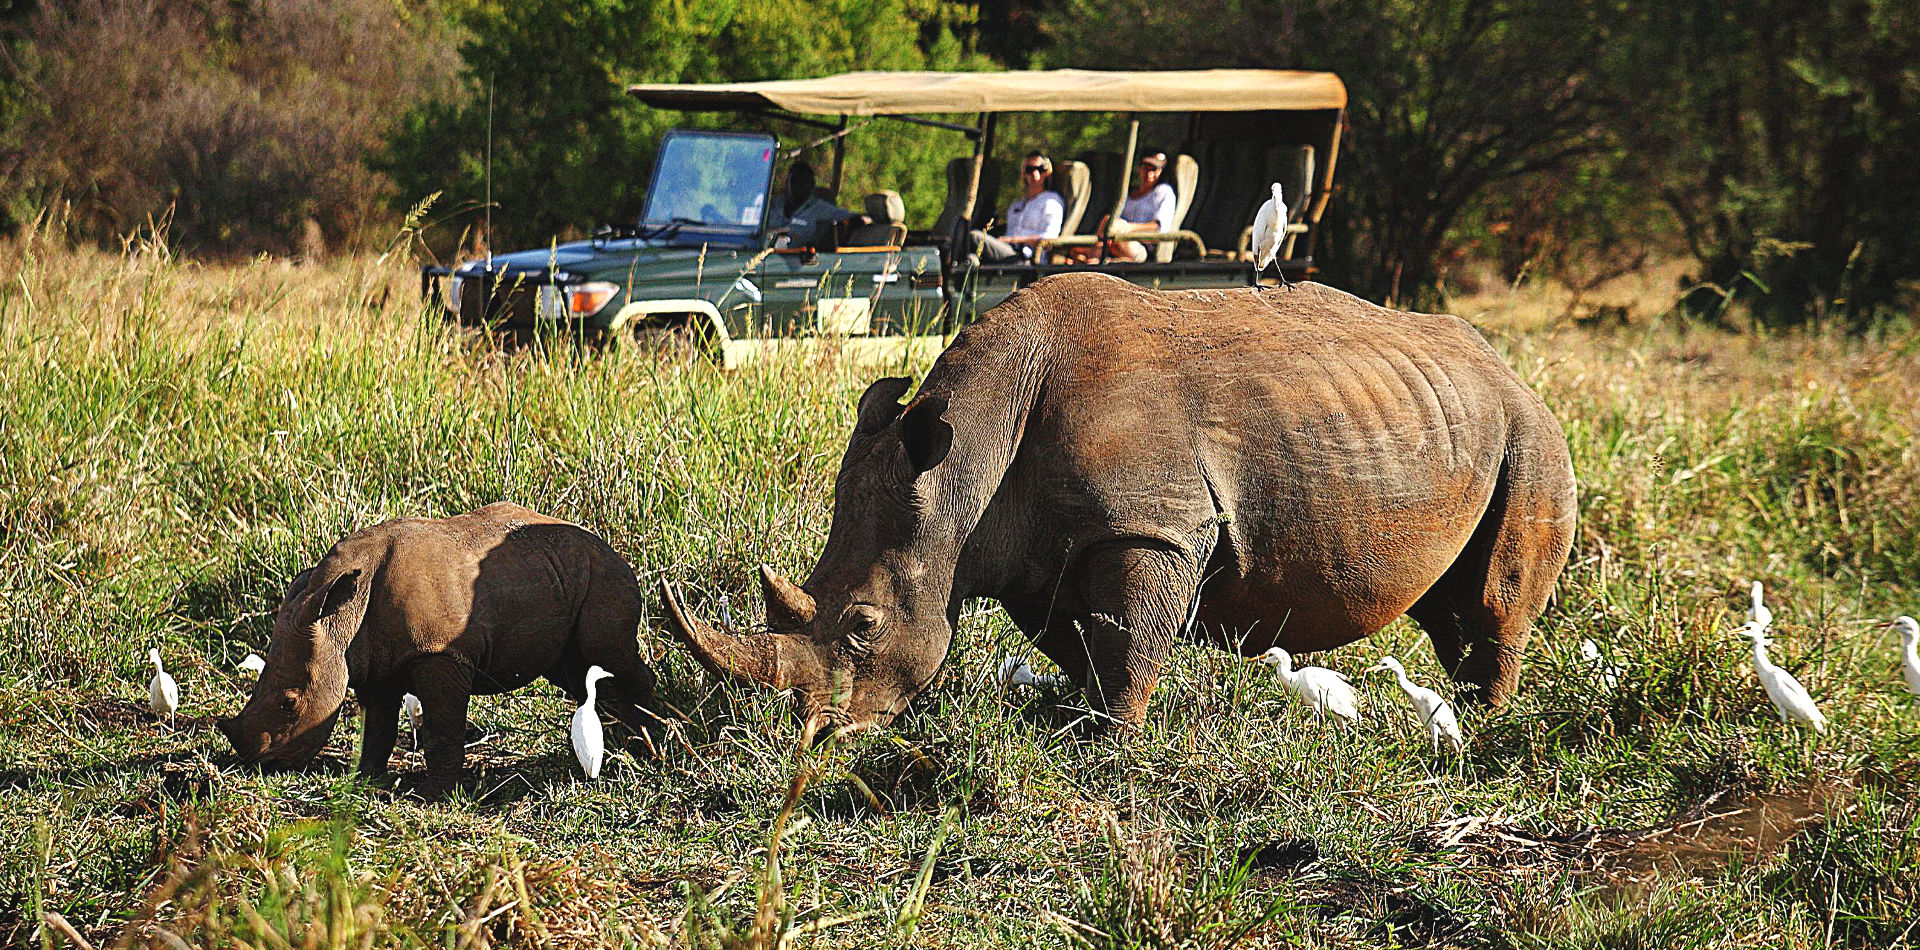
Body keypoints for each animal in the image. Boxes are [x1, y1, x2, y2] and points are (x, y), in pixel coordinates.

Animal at [219, 502, 660, 798]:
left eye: (290, 703)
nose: (258, 763)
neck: (341, 615)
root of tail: (614, 550)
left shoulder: (439, 653)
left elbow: (440, 728)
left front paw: (436, 796)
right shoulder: (373, 662)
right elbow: (378, 727)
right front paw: (366, 779)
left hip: (605, 576)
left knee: (609, 654)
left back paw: (648, 745)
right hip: (557, 574)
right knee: (577, 671)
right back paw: (624, 744)